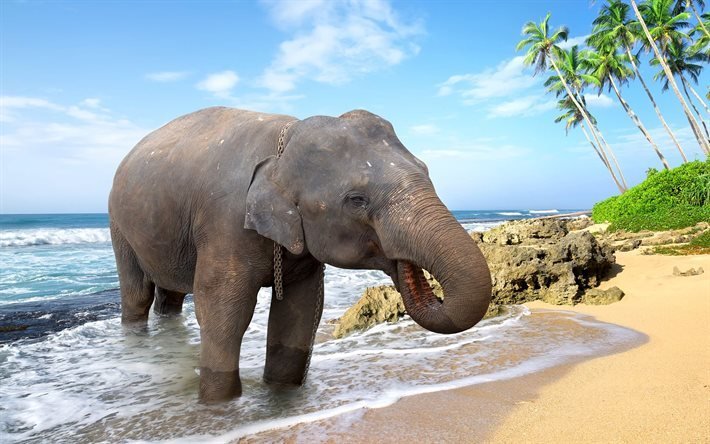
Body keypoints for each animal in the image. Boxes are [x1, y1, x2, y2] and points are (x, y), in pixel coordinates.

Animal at [108, 106, 492, 402]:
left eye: (426, 170)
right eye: (357, 200)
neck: (284, 143)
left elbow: (300, 312)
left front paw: (281, 395)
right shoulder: (224, 223)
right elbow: (222, 312)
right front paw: (219, 406)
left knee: (170, 296)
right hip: (118, 225)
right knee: (137, 293)